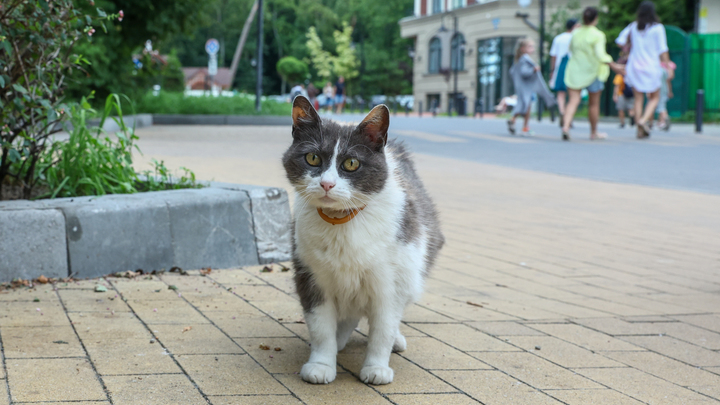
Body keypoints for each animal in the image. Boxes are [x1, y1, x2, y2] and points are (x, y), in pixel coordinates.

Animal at [282, 96, 444, 384]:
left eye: (351, 164)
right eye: (312, 158)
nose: (326, 184)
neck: (340, 222)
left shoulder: (390, 283)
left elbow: (383, 328)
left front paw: (376, 367)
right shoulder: (311, 277)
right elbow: (320, 327)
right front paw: (321, 364)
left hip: (413, 273)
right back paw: (340, 339)